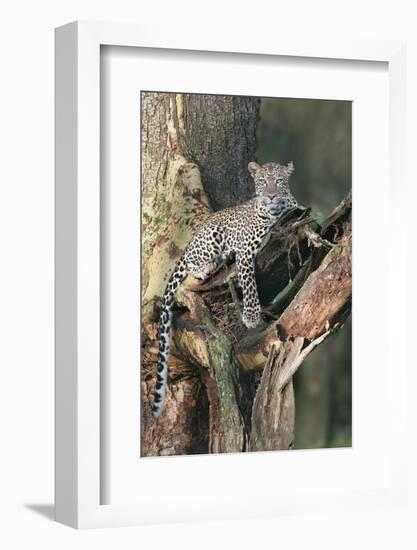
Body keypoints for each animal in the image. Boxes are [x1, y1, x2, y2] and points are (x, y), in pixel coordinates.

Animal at [151, 162, 298, 420]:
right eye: (262, 181)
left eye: (279, 181)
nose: (270, 196)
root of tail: (192, 239)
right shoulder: (245, 250)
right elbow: (249, 284)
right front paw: (251, 317)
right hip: (211, 238)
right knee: (192, 263)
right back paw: (207, 265)